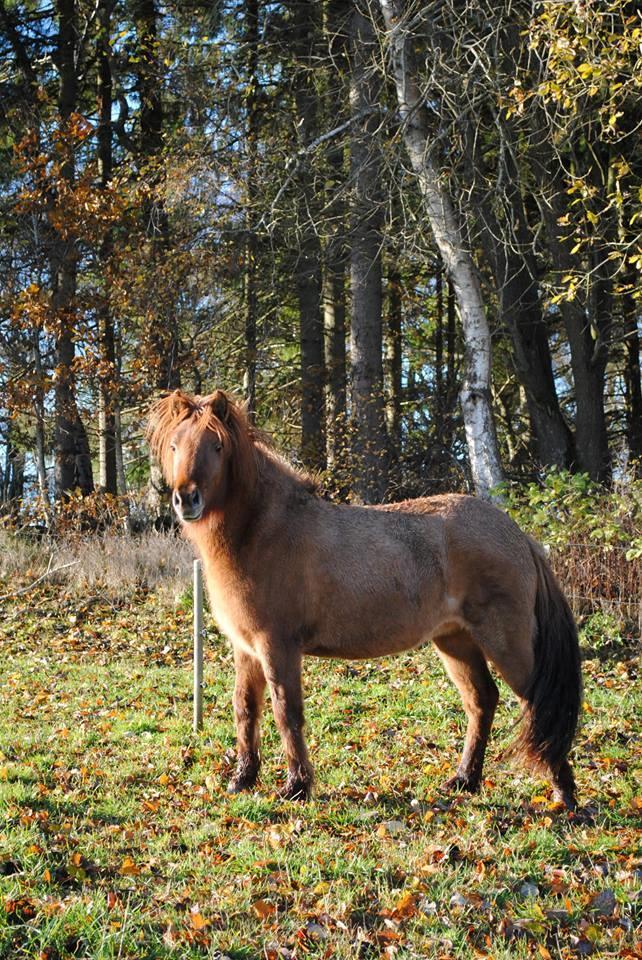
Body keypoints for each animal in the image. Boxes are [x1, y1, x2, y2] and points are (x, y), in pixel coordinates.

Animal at [149, 386, 580, 808]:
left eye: (217, 445)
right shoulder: (246, 648)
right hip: (454, 640)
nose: (186, 499)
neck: (264, 532)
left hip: (505, 643)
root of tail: (520, 537)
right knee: (482, 700)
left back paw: (564, 796)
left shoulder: (277, 646)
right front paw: (242, 779)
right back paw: (464, 780)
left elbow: (286, 711)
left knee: (538, 703)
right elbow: (245, 708)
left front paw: (296, 787)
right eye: (174, 444)